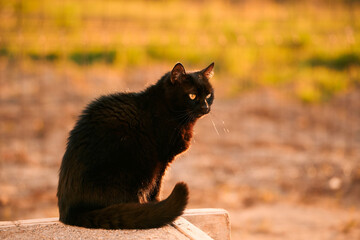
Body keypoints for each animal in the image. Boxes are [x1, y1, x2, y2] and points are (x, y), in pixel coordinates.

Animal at [56, 62, 214, 229]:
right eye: (192, 96)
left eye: (208, 95)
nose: (205, 107)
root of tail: (69, 214)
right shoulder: (161, 160)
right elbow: (157, 186)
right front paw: (155, 204)